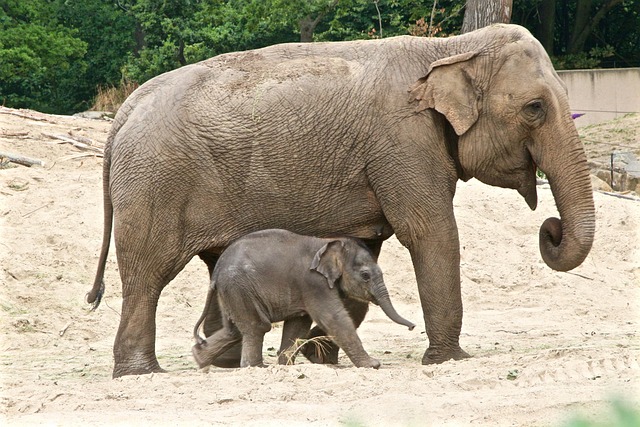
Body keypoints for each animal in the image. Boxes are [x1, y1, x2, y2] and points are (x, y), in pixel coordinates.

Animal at [191, 229, 415, 369]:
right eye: (366, 275)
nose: (413, 327)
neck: (328, 242)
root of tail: (216, 272)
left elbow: (298, 324)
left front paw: (285, 366)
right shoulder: (313, 283)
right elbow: (334, 318)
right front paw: (373, 365)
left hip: (232, 291)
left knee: (235, 330)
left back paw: (199, 359)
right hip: (239, 287)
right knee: (257, 326)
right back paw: (256, 367)